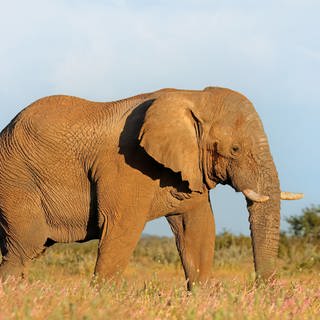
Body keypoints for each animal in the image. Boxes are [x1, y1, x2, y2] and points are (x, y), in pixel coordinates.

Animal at [0, 87, 302, 288]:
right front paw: (102, 302)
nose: (262, 289)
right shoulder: (126, 165)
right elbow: (121, 228)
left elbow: (198, 229)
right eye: (235, 149)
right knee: (25, 245)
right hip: (16, 180)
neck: (193, 96)